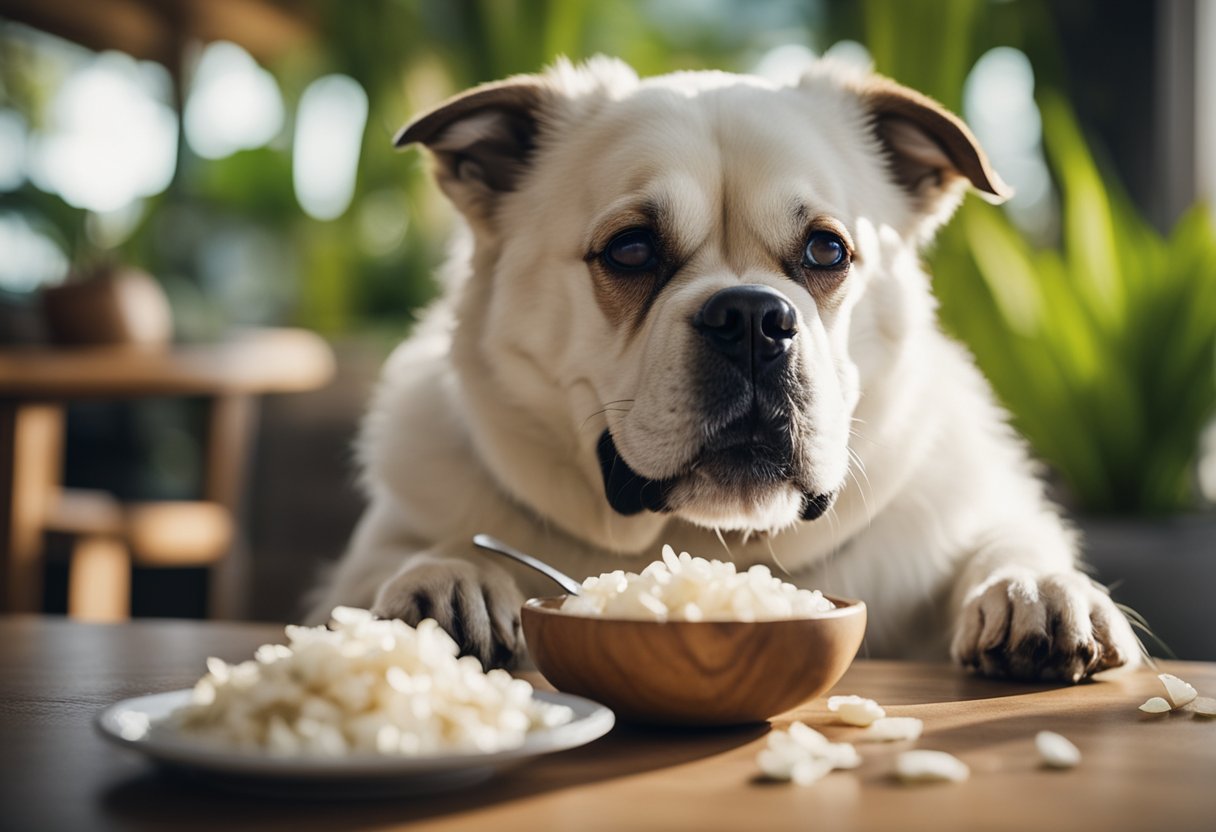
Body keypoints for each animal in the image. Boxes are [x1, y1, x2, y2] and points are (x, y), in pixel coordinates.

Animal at [311, 58, 1138, 681]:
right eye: (630, 250)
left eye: (827, 251)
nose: (750, 319)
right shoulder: (355, 569)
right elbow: (392, 564)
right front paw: (446, 577)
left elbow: (1007, 542)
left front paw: (1034, 589)